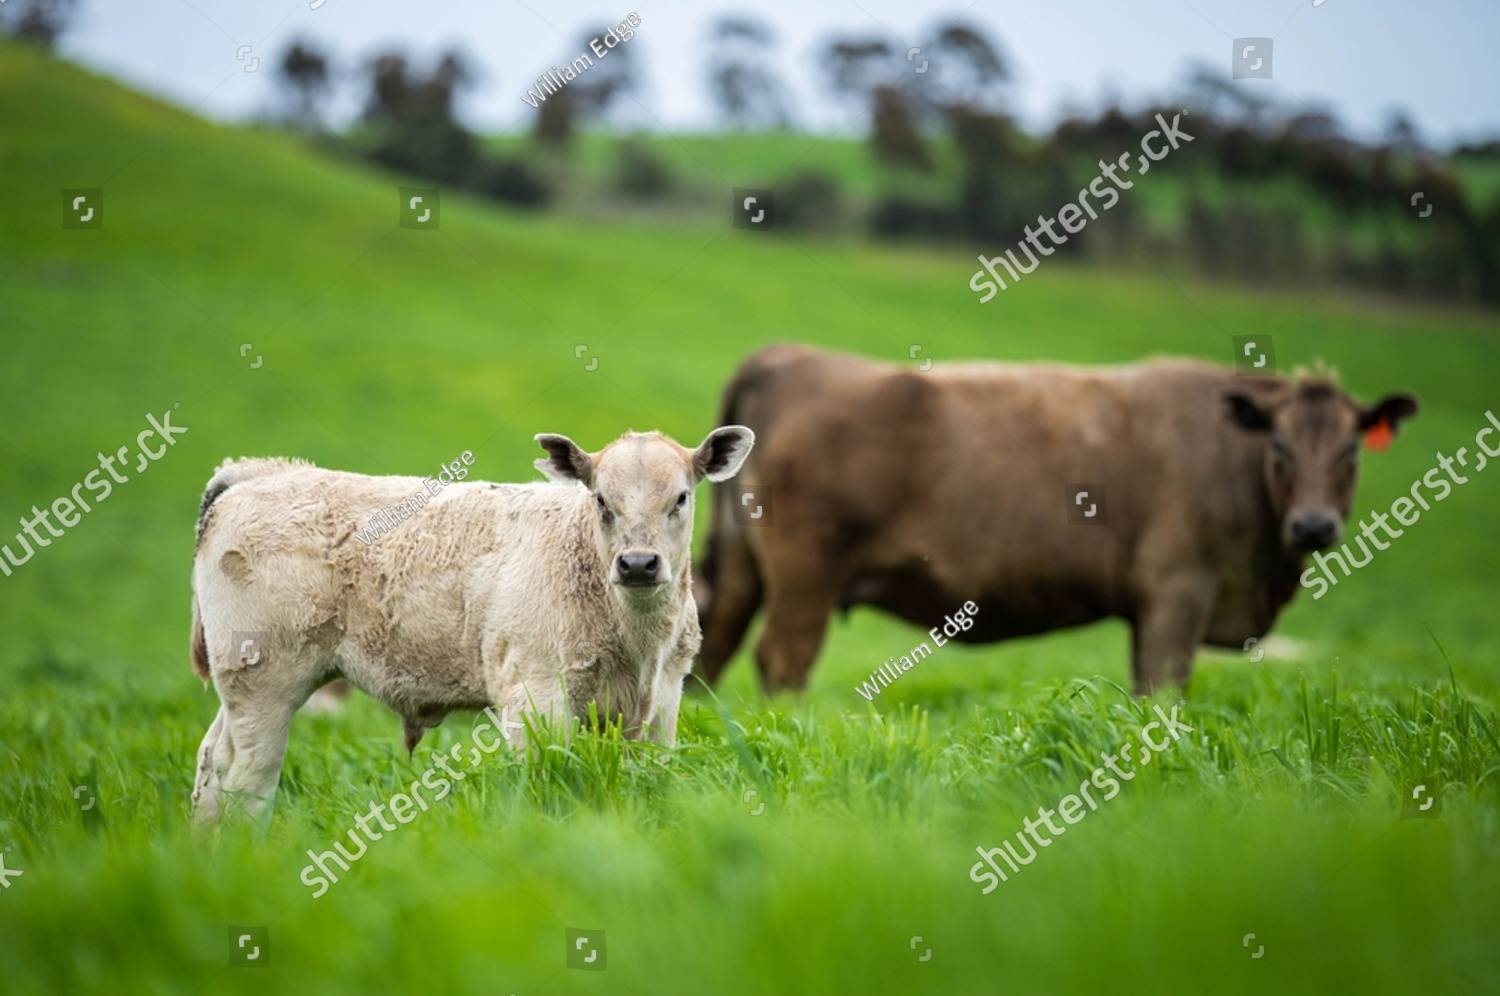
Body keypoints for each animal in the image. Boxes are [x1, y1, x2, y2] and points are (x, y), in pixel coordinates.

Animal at [188, 426, 754, 825]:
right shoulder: (535, 695)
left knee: (211, 760)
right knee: (245, 774)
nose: (638, 564)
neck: (635, 643)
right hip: (265, 680)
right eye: (600, 500)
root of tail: (261, 472)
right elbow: (546, 779)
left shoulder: (662, 700)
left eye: (680, 498)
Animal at [694, 345, 1417, 695]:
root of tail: (789, 357)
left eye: (1351, 451)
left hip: (741, 569)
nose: (1314, 527)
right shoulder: (1177, 592)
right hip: (805, 577)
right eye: (1279, 448)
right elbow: (1164, 686)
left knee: (710, 644)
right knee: (782, 661)